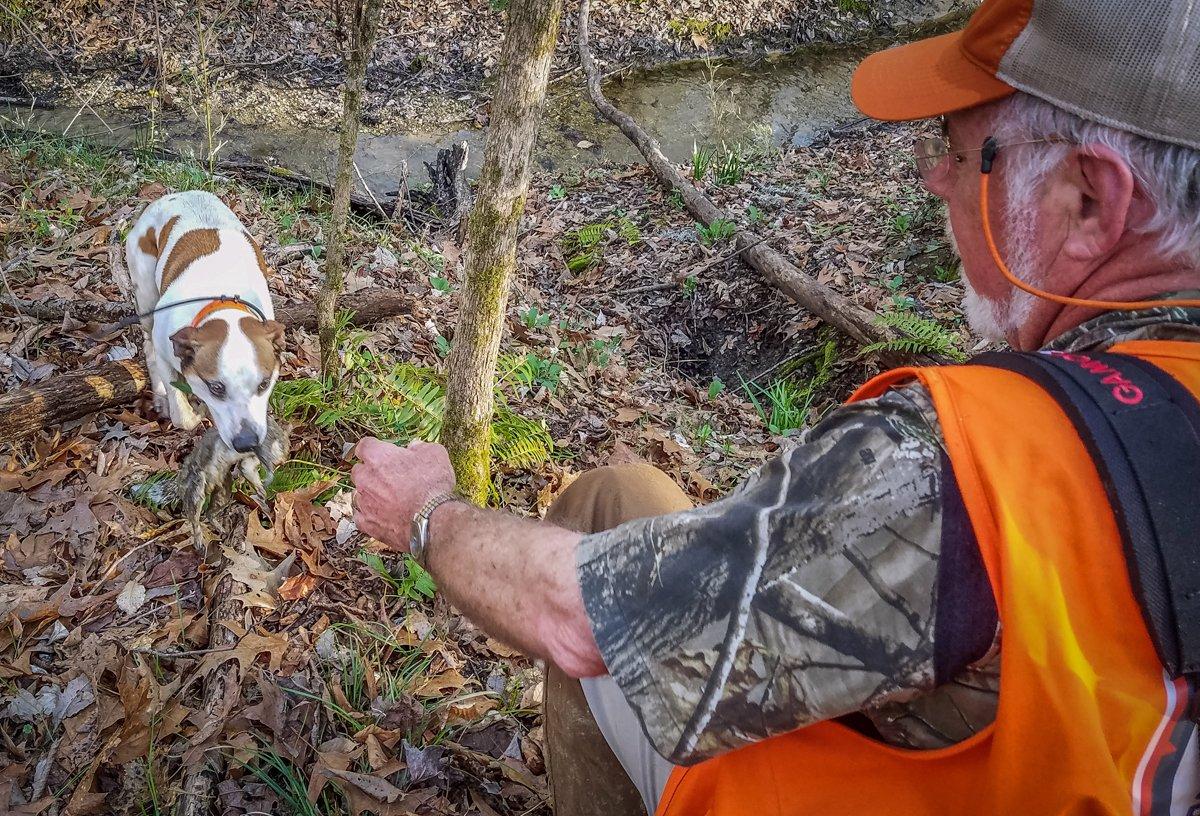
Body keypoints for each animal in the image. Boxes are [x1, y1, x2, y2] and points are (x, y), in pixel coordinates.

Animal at [126, 190, 285, 453]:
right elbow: (183, 417)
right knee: (148, 343)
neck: (219, 301)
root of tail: (175, 194)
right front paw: (196, 409)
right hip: (146, 296)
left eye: (263, 384)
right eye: (216, 388)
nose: (247, 442)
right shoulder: (165, 350)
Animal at [176, 417, 289, 552]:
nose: (282, 459)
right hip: (197, 489)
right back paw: (199, 540)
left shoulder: (250, 460)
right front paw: (268, 477)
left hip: (223, 492)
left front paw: (259, 490)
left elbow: (248, 468)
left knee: (210, 513)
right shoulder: (262, 446)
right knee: (195, 518)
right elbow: (266, 463)